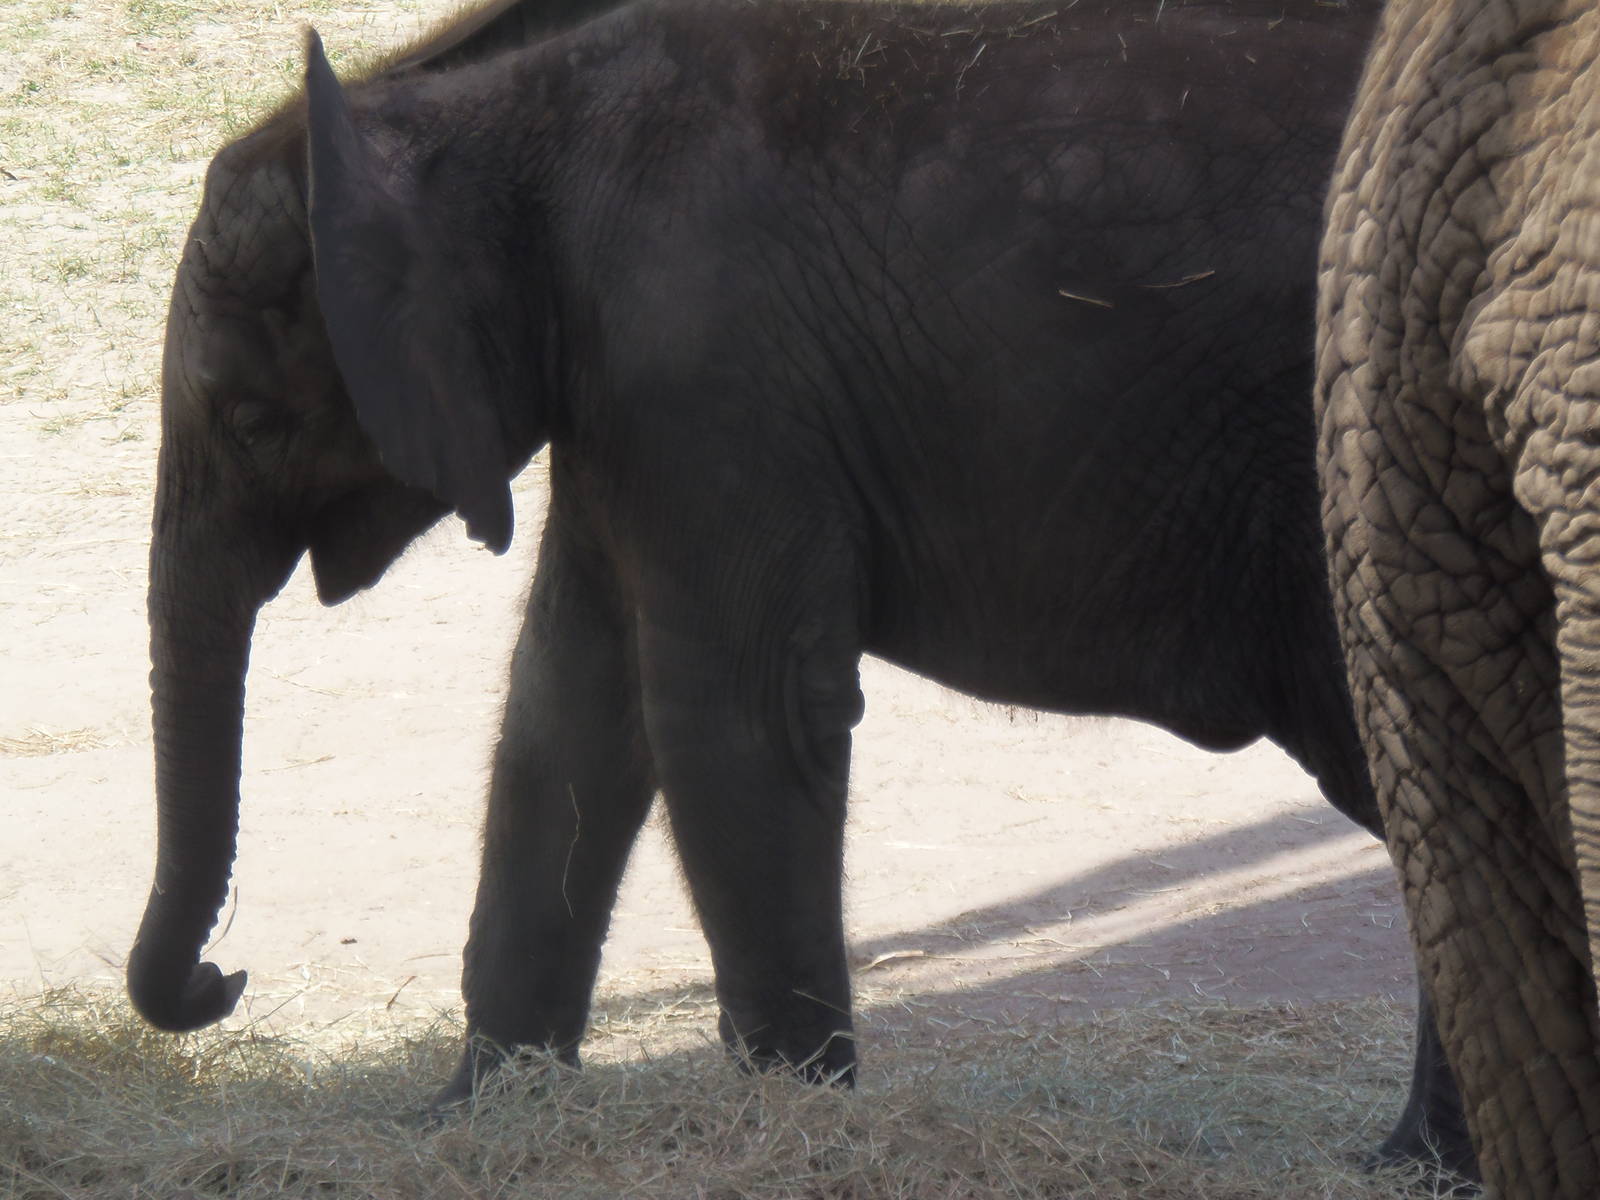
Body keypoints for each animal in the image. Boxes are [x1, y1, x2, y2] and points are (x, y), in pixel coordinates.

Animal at [131, 0, 1470, 1174]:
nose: (219, 982)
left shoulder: (704, 367)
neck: (483, 113)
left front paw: (795, 1137)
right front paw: (467, 1126)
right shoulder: (621, 391)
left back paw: (1416, 1163)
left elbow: (728, 720)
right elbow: (566, 715)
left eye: (250, 420)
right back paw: (1417, 1164)